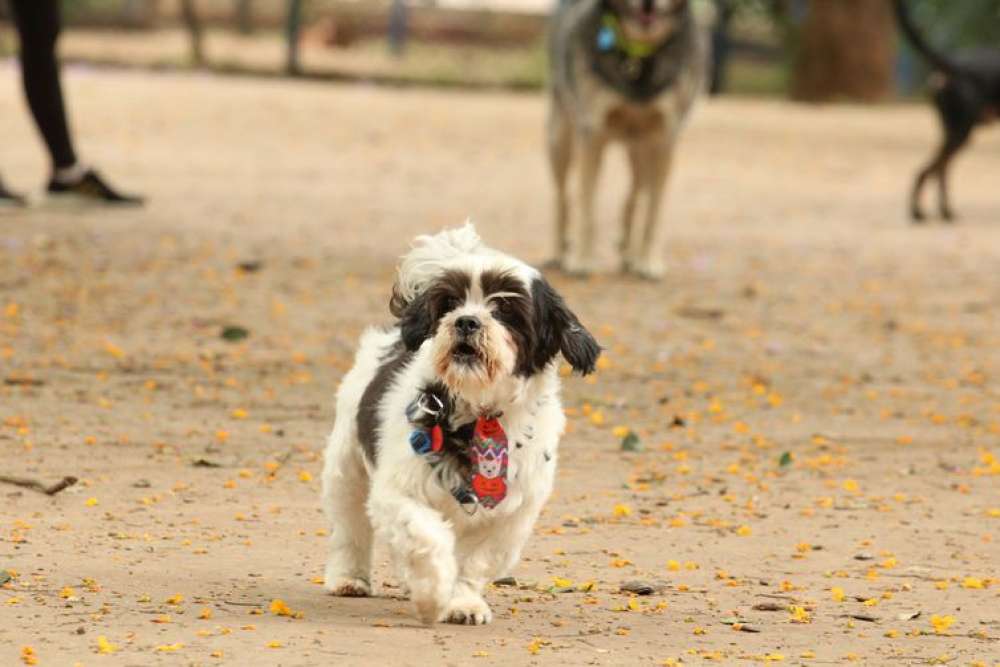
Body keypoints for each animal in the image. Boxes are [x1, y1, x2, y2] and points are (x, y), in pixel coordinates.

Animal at [324, 224, 596, 628]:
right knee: (350, 524)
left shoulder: (511, 515)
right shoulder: (399, 492)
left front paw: (462, 601)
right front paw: (432, 596)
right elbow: (427, 538)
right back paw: (349, 577)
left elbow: (474, 562)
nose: (467, 320)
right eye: (450, 303)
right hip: (347, 467)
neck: (479, 412)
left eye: (506, 309)